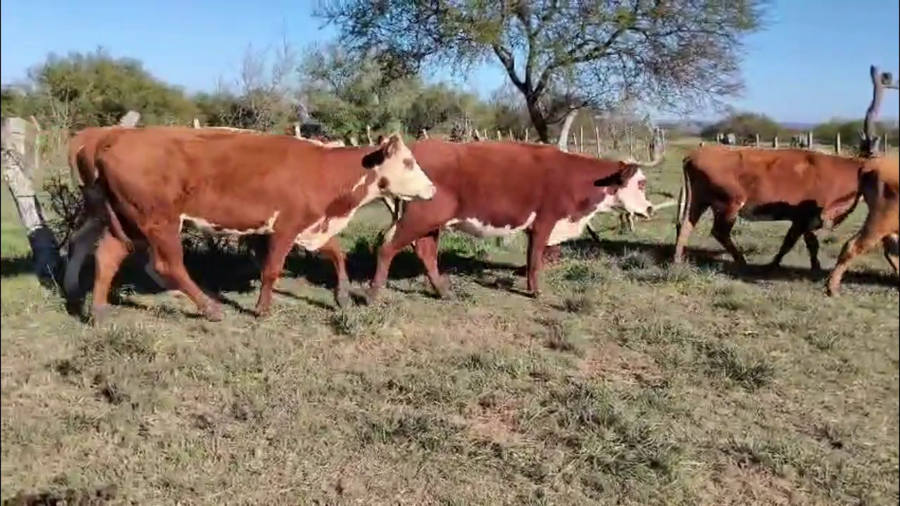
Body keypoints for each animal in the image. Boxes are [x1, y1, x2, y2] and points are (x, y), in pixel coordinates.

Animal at [87, 128, 436, 323]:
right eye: (408, 162)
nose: (432, 189)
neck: (323, 169)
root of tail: (111, 141)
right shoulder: (285, 228)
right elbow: (271, 269)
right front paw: (262, 309)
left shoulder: (311, 225)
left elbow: (337, 254)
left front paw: (343, 295)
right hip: (160, 221)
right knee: (168, 265)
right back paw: (210, 309)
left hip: (128, 222)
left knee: (107, 257)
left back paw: (99, 312)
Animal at [365, 139, 663, 302]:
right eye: (641, 183)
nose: (650, 208)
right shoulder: (544, 222)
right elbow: (536, 260)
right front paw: (535, 291)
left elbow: (533, 259)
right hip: (421, 217)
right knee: (388, 246)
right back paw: (374, 293)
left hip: (430, 223)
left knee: (425, 252)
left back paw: (443, 292)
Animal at [673, 145, 868, 271]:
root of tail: (697, 153)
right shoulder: (806, 217)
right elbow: (799, 243)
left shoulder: (802, 220)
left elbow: (797, 242)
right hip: (729, 204)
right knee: (719, 232)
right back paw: (741, 260)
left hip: (698, 202)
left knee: (686, 225)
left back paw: (677, 260)